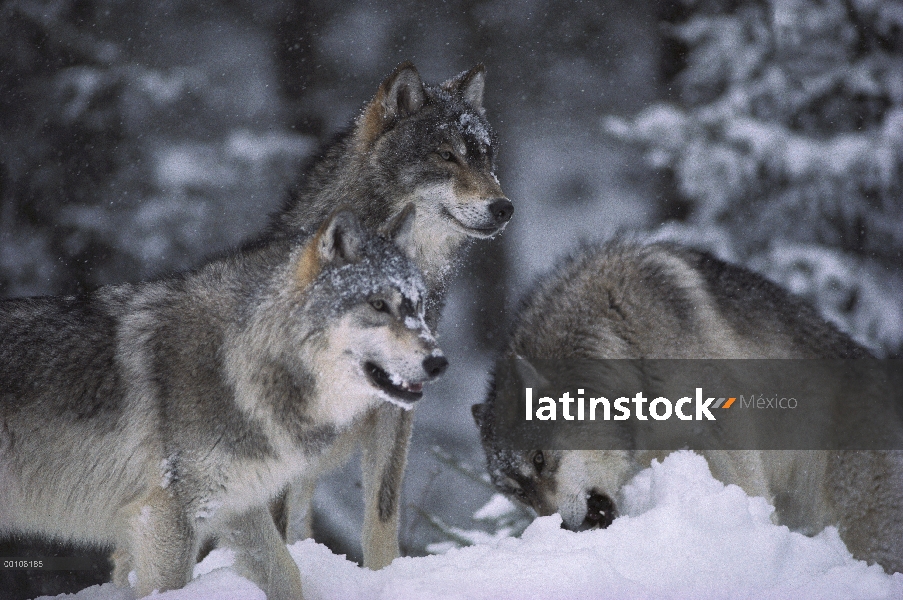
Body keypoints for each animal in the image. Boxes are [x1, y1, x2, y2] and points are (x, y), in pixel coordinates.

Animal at [0, 207, 448, 600]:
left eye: (419, 308)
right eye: (379, 305)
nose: (439, 362)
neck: (239, 359)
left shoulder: (238, 503)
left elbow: (287, 574)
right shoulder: (165, 516)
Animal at [470, 243, 903, 572]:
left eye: (539, 460)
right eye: (520, 494)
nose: (558, 528)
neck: (624, 343)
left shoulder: (723, 425)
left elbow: (749, 490)